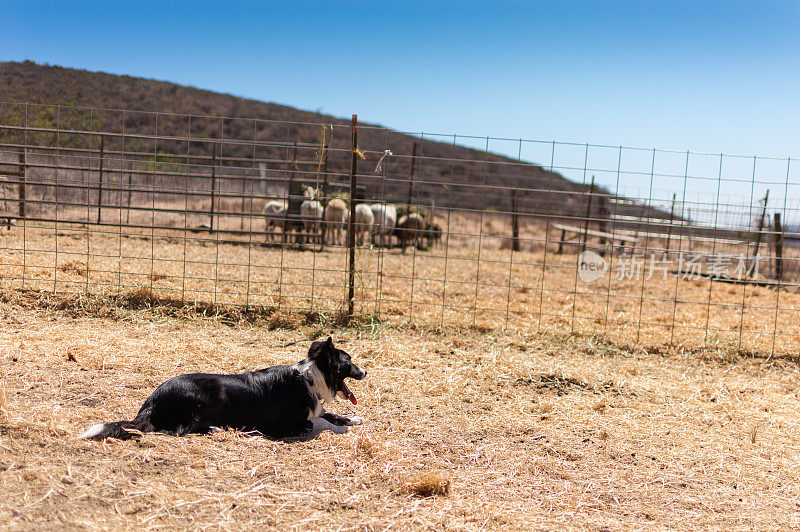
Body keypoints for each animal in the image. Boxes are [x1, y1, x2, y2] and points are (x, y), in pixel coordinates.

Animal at [78, 338, 366, 438]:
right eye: (349, 362)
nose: (366, 372)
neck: (310, 378)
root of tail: (151, 401)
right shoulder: (288, 425)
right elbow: (319, 421)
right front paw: (342, 427)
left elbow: (327, 414)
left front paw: (353, 419)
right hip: (211, 393)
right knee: (179, 429)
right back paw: (216, 428)